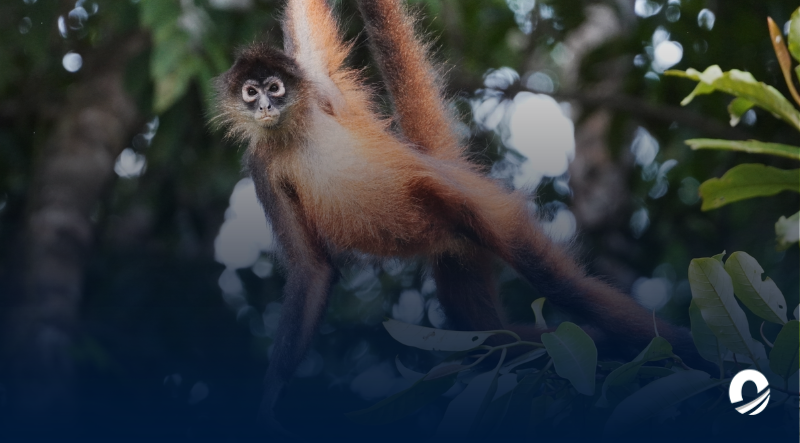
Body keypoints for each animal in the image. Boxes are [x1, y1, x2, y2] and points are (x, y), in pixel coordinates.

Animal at [211, 0, 707, 434]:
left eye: (274, 87)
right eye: (250, 92)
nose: (265, 107)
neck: (292, 132)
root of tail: (443, 169)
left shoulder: (320, 88)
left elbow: (308, 28)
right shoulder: (261, 165)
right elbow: (312, 268)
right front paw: (270, 400)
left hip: (483, 209)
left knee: (558, 284)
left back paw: (694, 355)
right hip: (456, 252)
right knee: (491, 338)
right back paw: (596, 344)